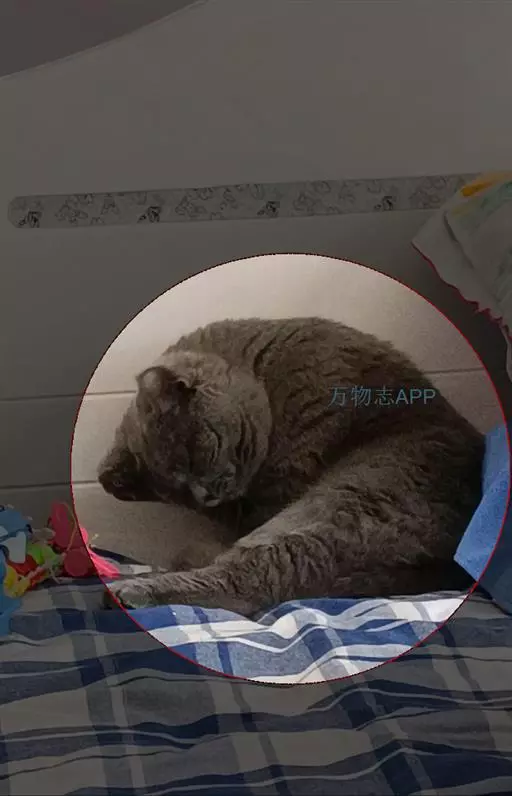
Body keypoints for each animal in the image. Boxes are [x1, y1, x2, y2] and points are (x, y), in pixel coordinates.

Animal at [98, 316, 483, 616]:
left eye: (194, 454)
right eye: (176, 491)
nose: (205, 497)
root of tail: (444, 565)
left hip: (345, 501)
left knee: (249, 583)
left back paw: (130, 590)